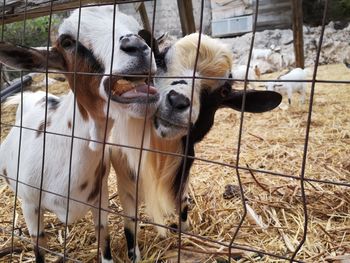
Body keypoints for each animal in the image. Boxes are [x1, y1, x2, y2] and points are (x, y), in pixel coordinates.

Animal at [0, 6, 158, 263]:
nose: (136, 45)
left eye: (135, 29)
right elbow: (38, 248)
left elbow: (104, 243)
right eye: (66, 42)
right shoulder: (30, 205)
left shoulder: (100, 201)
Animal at [109, 33, 282, 262]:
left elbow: (182, 206)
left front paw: (185, 233)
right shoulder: (125, 180)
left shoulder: (184, 170)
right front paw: (134, 255)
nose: (177, 100)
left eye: (224, 91)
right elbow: (130, 223)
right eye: (160, 60)